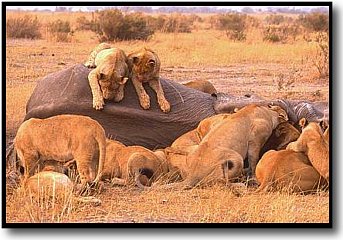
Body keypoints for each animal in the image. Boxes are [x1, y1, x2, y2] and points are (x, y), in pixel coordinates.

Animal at [160, 105, 288, 189]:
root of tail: (194, 173)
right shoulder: (255, 141)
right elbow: (253, 161)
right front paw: (253, 178)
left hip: (194, 148)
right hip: (237, 158)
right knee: (219, 181)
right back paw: (240, 184)